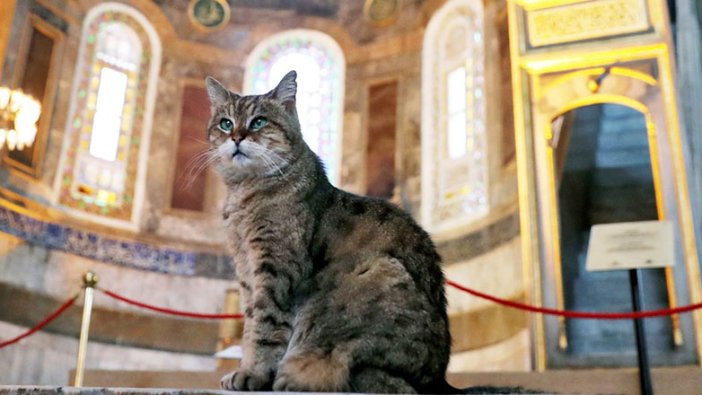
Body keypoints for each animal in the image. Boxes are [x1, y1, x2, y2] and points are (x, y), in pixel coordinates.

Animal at [205, 72, 506, 394]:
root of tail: (440, 382)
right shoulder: (246, 272)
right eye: (225, 123)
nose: (236, 137)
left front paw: (253, 374)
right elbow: (251, 322)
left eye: (259, 121)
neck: (244, 193)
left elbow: (264, 326)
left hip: (375, 275)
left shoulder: (275, 268)